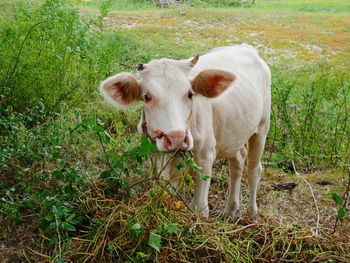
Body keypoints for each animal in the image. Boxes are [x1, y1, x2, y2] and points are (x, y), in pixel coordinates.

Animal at [100, 44, 272, 219]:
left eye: (190, 94)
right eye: (147, 97)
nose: (176, 138)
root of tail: (246, 47)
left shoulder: (205, 155)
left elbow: (200, 208)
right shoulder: (155, 153)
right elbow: (164, 190)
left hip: (262, 127)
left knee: (254, 169)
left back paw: (252, 212)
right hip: (232, 134)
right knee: (238, 160)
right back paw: (230, 210)